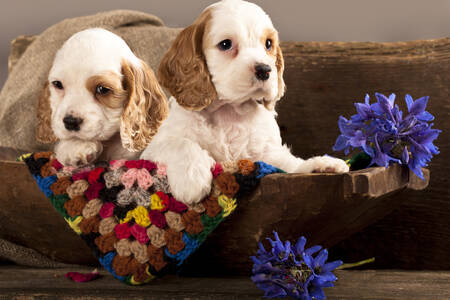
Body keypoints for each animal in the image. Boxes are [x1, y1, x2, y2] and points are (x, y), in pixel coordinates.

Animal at [141, 0, 348, 204]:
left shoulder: (266, 153)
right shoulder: (152, 148)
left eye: (268, 44)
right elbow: (180, 143)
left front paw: (319, 164)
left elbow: (289, 164)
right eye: (225, 44)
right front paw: (192, 178)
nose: (264, 69)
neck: (228, 110)